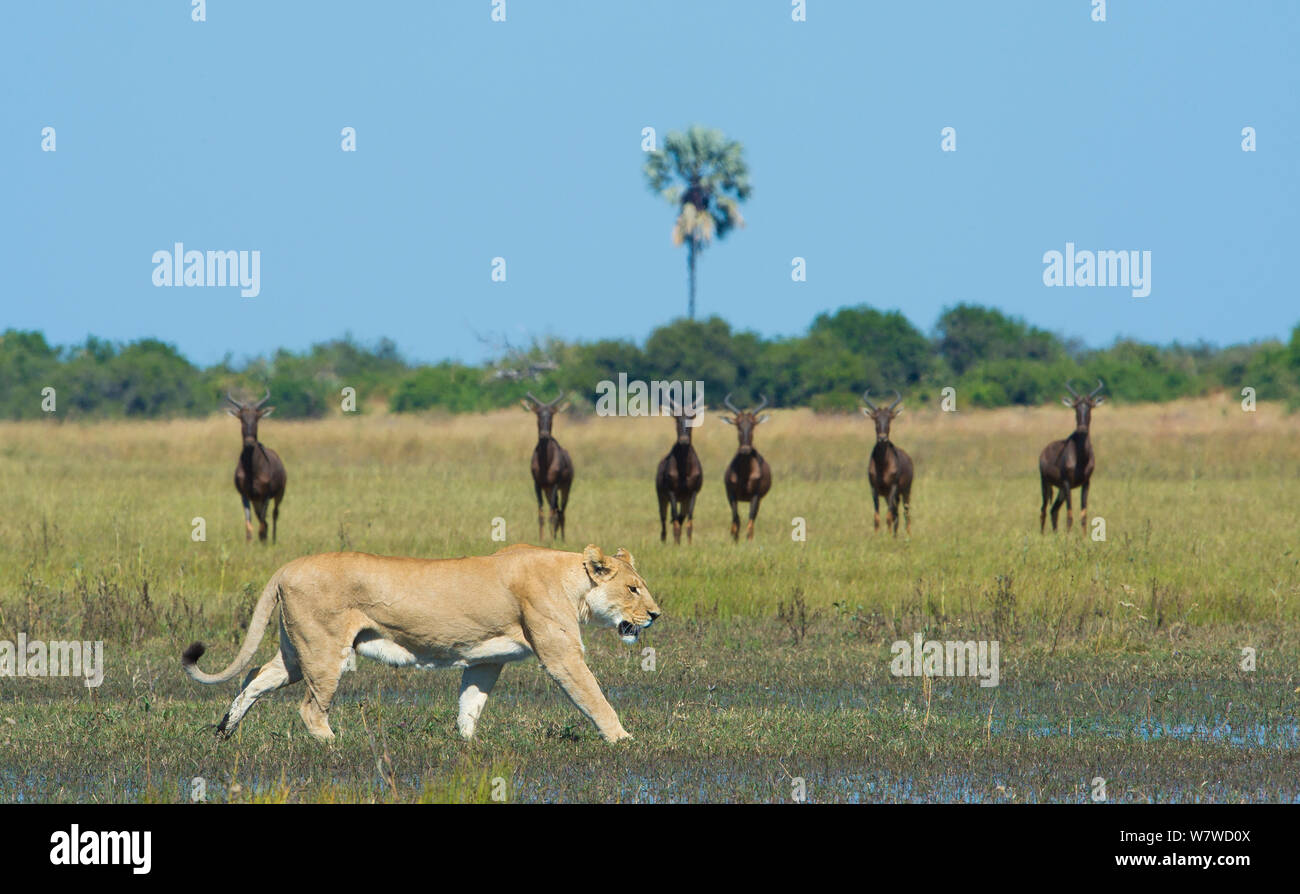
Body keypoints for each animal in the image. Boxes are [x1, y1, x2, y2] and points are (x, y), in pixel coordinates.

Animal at [181, 543, 660, 742]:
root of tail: (287, 566)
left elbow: (471, 702)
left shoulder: (486, 659)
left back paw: (225, 732)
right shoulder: (561, 655)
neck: (572, 582)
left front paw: (467, 745)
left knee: (255, 677)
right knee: (309, 709)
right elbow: (594, 698)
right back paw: (336, 745)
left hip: (297, 651)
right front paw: (623, 740)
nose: (656, 615)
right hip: (324, 650)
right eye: (633, 588)